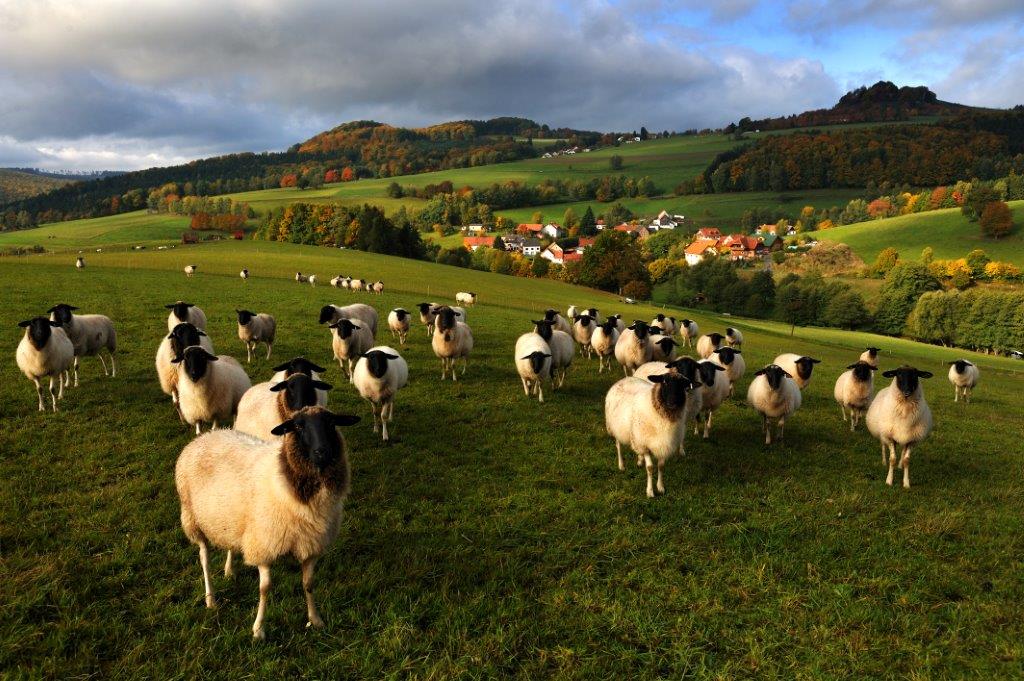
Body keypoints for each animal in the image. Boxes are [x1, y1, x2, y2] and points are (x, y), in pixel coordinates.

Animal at [175, 406, 360, 639]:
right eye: (298, 426)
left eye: (331, 423)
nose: (322, 451)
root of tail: (205, 436)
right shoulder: (263, 544)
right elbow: (265, 588)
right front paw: (259, 629)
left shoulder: (311, 545)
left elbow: (308, 584)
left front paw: (315, 619)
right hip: (193, 520)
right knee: (204, 559)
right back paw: (211, 599)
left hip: (232, 518)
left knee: (230, 545)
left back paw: (229, 571)